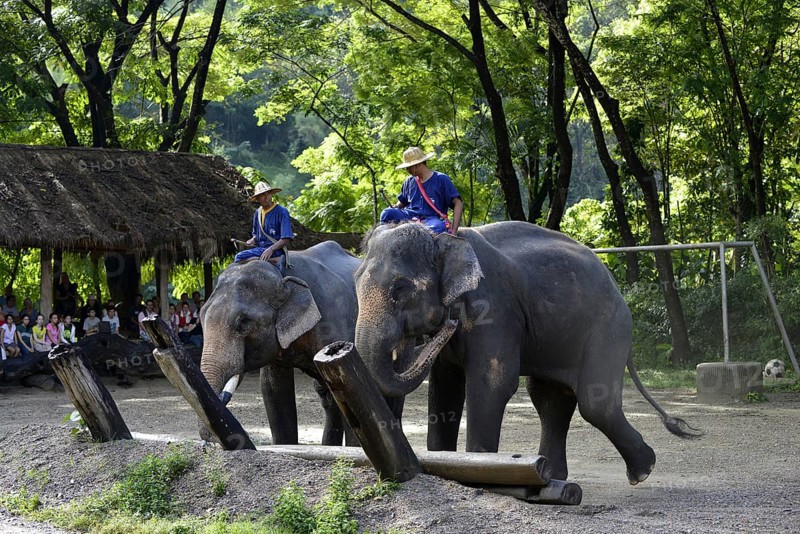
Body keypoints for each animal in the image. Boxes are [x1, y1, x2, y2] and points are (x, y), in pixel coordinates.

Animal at [199, 241, 361, 446]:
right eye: (201, 315)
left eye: (244, 321)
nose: (207, 442)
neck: (280, 272)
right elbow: (273, 388)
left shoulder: (336, 324)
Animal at [354, 221, 698, 484]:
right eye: (355, 282)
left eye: (400, 289)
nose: (447, 326)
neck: (444, 240)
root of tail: (615, 287)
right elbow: (445, 391)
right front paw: (442, 462)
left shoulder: (493, 310)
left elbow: (491, 385)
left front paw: (479, 473)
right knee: (550, 399)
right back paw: (555, 476)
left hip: (608, 328)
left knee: (595, 403)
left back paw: (643, 470)